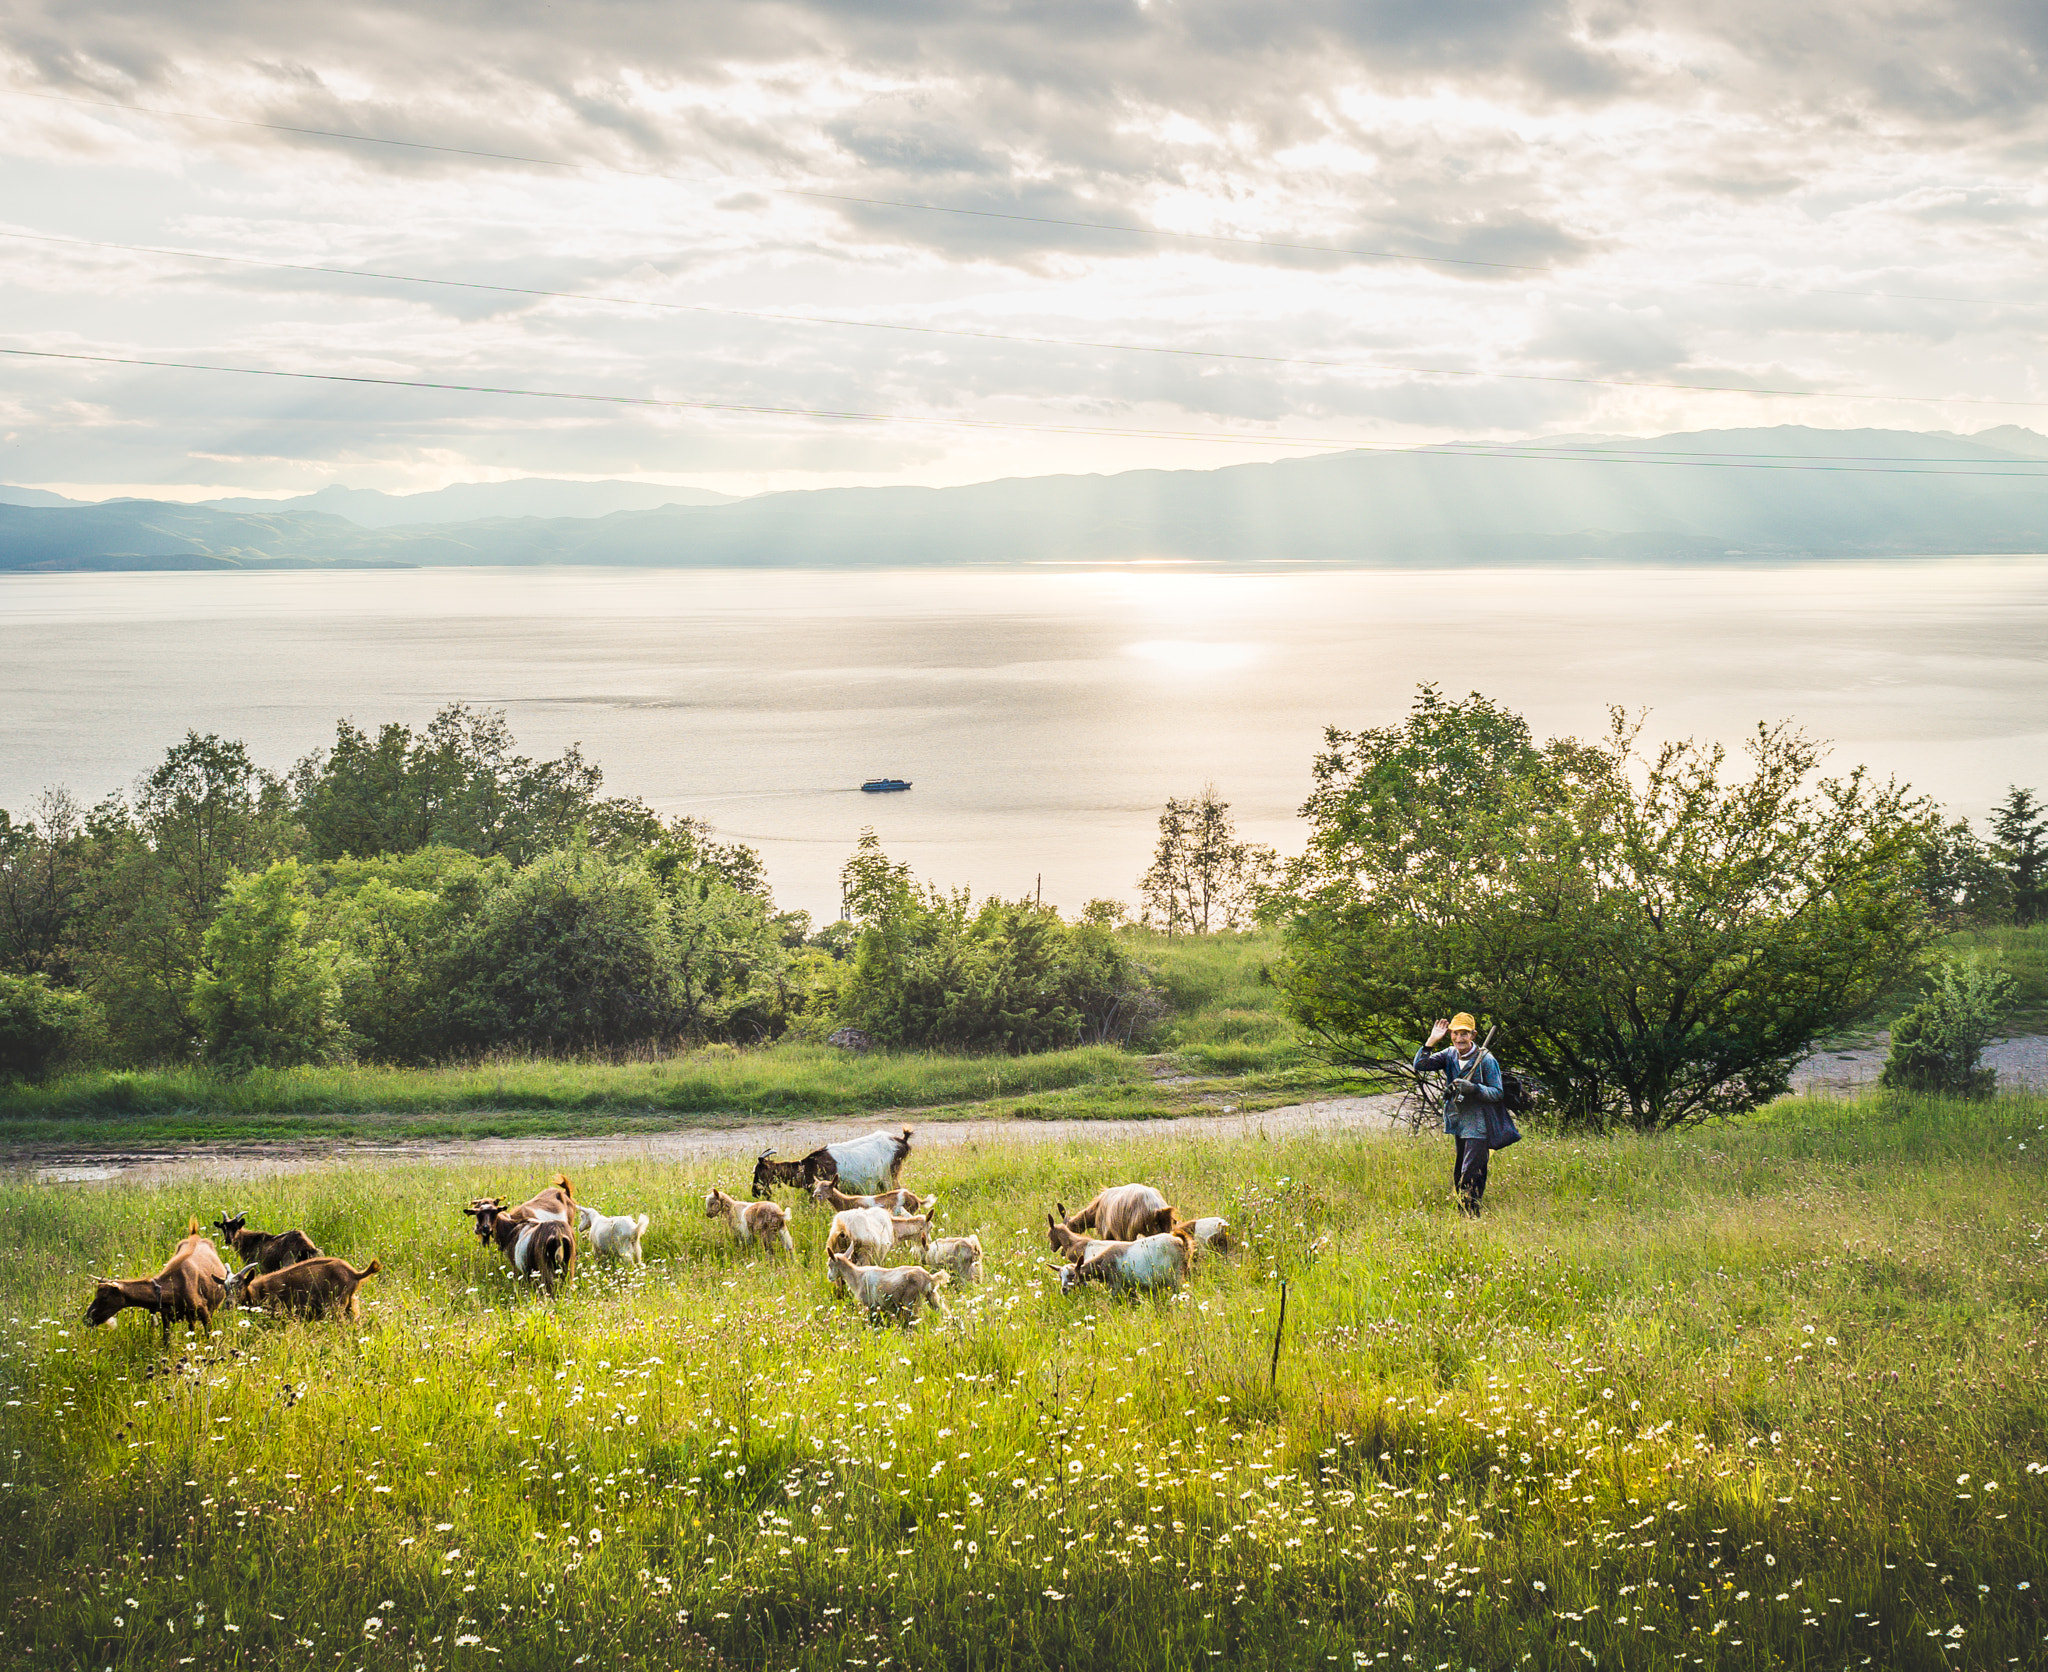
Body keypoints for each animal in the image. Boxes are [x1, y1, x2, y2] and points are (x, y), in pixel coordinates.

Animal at [82, 1213, 228, 1344]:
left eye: (104, 1297)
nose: (87, 1319)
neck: (173, 1288)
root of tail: (194, 1234)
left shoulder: (204, 1311)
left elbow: (210, 1338)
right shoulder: (166, 1316)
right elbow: (166, 1341)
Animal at [230, 1262, 382, 1327]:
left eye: (240, 1286)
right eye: (226, 1287)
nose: (228, 1304)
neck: (260, 1290)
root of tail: (354, 1273)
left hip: (336, 1307)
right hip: (351, 1305)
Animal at [1064, 1221, 1196, 1303]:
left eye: (1072, 1275)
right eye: (1060, 1276)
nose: (1063, 1290)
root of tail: (1181, 1242)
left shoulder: (1115, 1284)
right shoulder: (1129, 1286)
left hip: (1175, 1274)